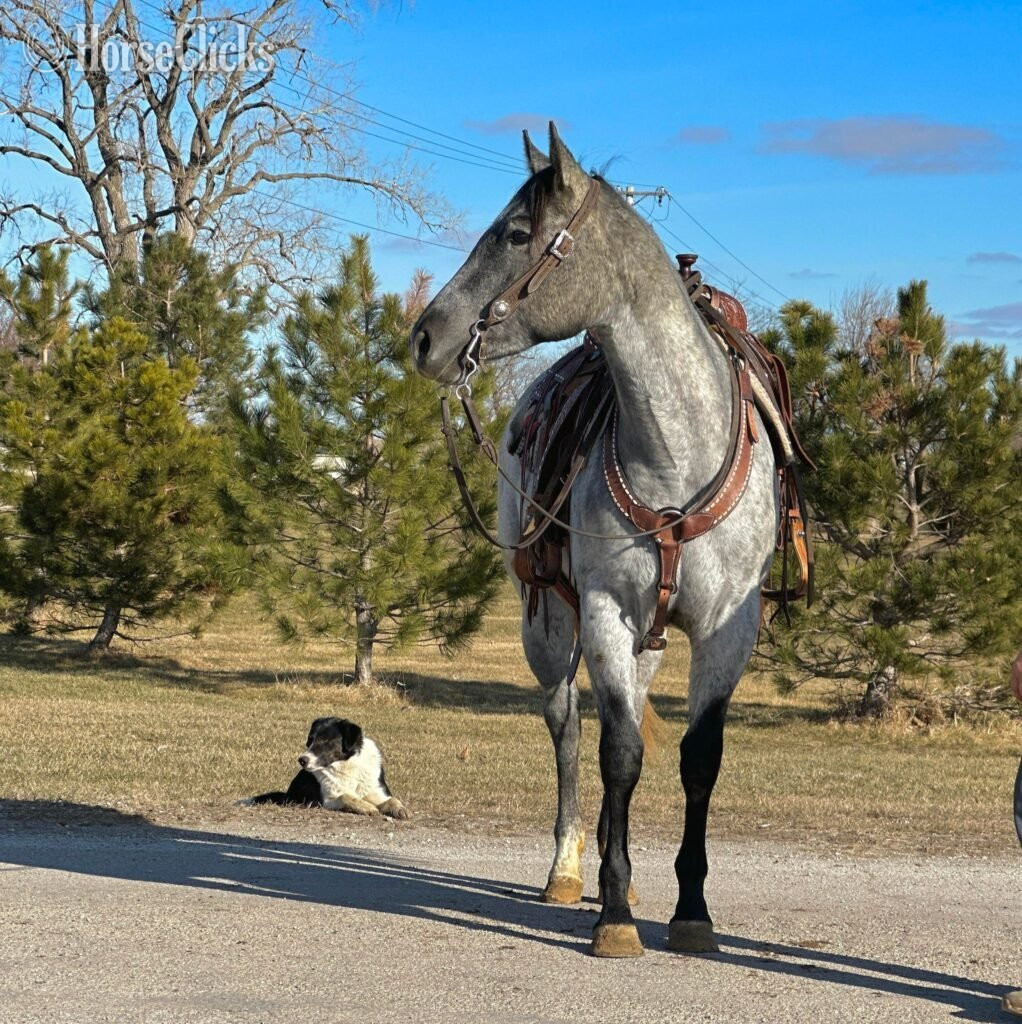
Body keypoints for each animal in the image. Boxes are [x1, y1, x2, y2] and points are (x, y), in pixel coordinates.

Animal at [410, 124, 778, 958]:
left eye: (516, 233)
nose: (424, 336)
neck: (675, 454)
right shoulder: (607, 612)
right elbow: (616, 754)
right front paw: (612, 914)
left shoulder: (725, 630)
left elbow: (694, 760)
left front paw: (690, 911)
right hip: (548, 626)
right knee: (572, 731)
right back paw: (568, 869)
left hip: (648, 642)